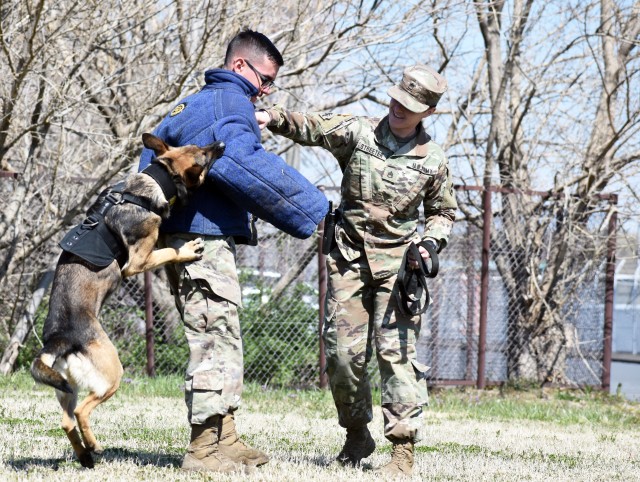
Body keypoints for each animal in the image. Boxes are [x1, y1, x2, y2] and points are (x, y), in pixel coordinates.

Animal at [30, 132, 225, 466]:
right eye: (202, 156)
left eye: (199, 147)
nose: (221, 144)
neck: (151, 184)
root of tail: (58, 339)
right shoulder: (136, 263)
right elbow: (169, 251)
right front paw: (187, 250)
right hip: (111, 374)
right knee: (81, 412)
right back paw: (94, 446)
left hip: (67, 386)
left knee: (66, 421)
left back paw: (85, 456)